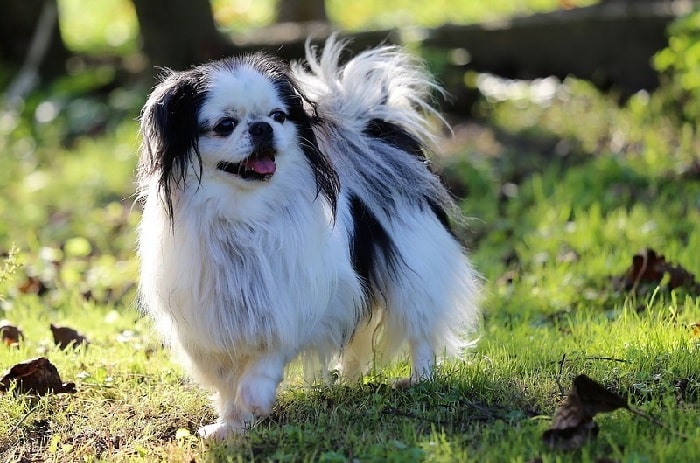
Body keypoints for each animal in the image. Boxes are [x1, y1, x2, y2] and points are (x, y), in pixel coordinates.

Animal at [136, 36, 478, 438]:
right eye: (225, 125)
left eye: (278, 116)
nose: (262, 127)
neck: (243, 215)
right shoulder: (212, 328)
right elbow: (226, 385)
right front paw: (231, 426)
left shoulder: (293, 301)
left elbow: (266, 357)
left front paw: (255, 398)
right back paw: (350, 379)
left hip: (416, 273)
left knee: (420, 331)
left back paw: (420, 379)